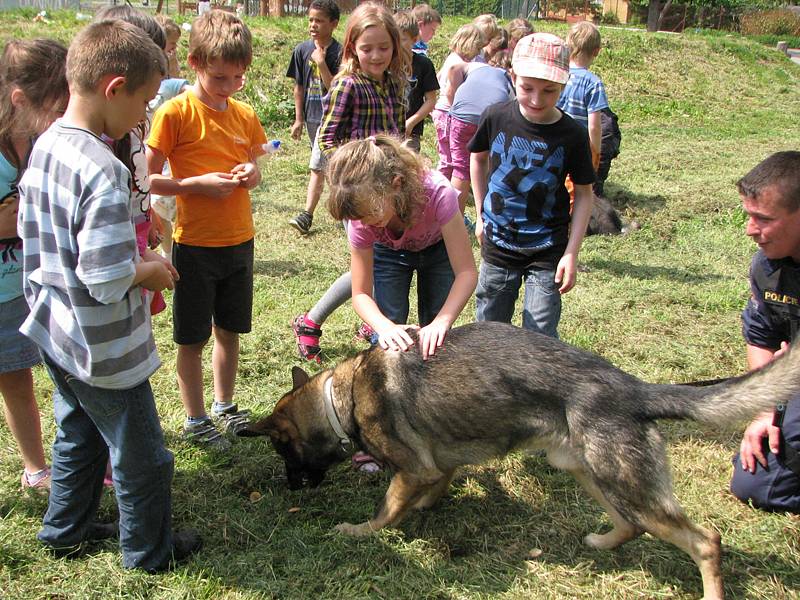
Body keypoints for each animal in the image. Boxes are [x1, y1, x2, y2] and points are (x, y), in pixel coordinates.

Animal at [241, 324, 796, 600]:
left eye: (284, 452)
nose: (293, 489)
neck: (343, 396)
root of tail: (635, 389)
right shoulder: (436, 467)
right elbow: (428, 490)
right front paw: (423, 509)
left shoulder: (413, 468)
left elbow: (386, 510)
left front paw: (361, 531)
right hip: (586, 470)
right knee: (631, 525)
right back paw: (601, 542)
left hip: (624, 482)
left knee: (705, 541)